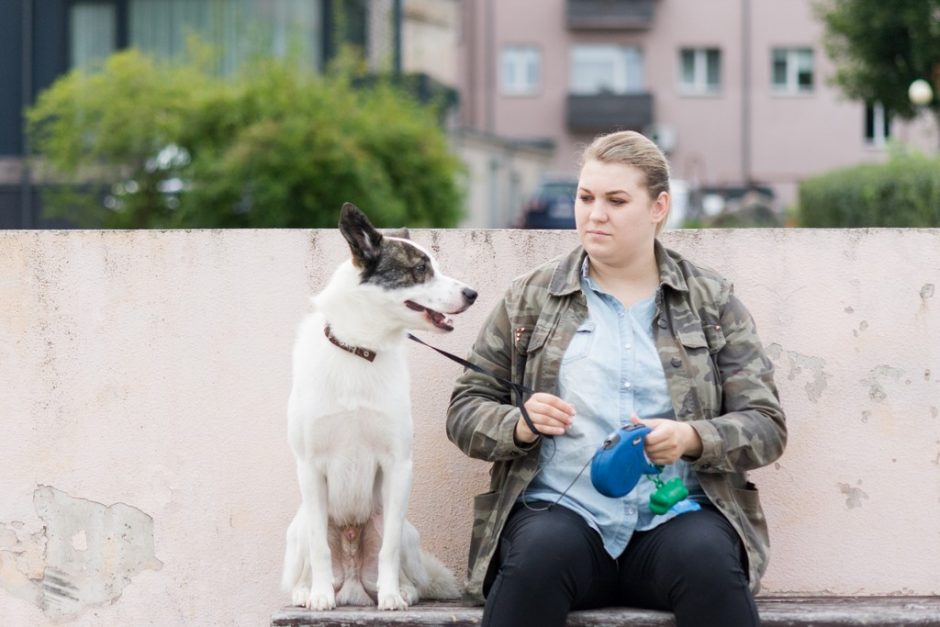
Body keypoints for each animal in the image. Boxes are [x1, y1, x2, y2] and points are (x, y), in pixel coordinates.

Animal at [278, 204, 470, 612]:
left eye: (436, 266)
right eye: (420, 269)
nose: (472, 293)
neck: (360, 350)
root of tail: (352, 582)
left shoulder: (398, 465)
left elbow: (388, 551)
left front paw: (392, 595)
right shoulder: (309, 468)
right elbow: (319, 548)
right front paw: (319, 595)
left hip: (408, 531)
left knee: (402, 560)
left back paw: (402, 590)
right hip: (298, 527)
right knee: (306, 559)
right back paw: (306, 592)